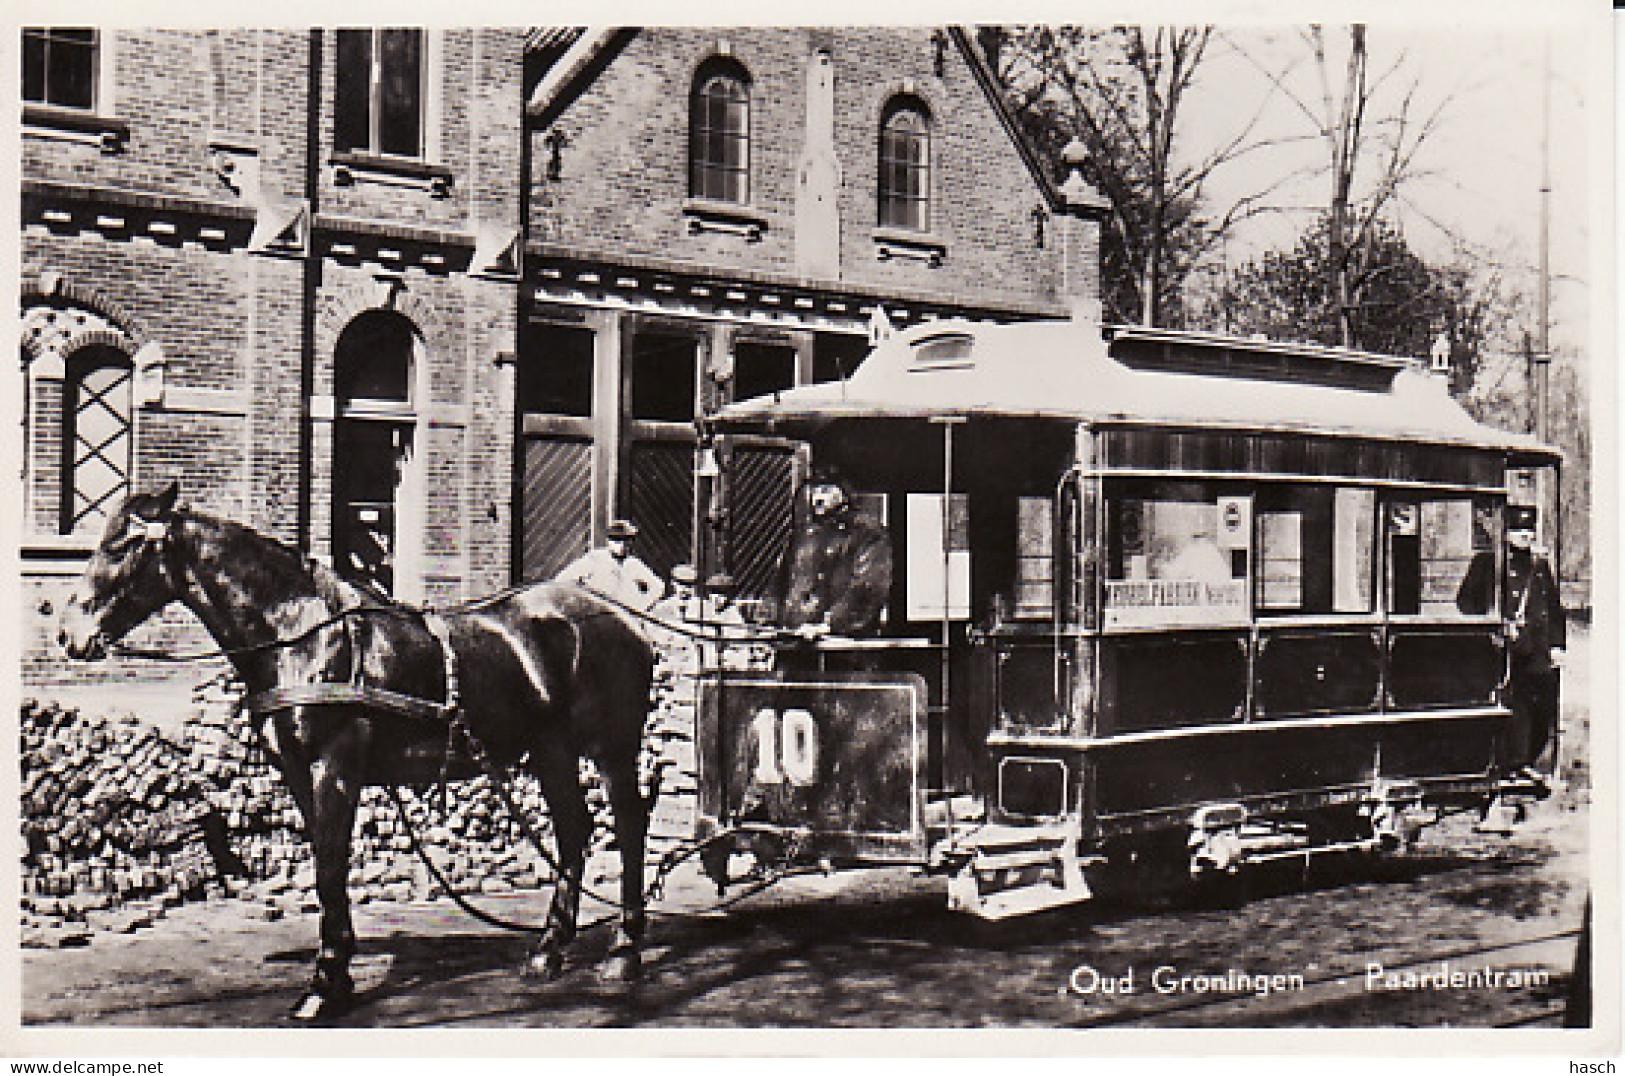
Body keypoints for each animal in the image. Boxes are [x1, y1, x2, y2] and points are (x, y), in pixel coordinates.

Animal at [58, 484, 653, 1027]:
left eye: (123, 544)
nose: (70, 634)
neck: (299, 637)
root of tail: (623, 618)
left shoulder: (334, 769)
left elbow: (329, 868)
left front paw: (324, 986)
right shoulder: (299, 774)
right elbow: (329, 871)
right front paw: (337, 976)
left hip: (612, 750)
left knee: (628, 827)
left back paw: (624, 952)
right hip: (551, 750)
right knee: (574, 830)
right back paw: (549, 949)